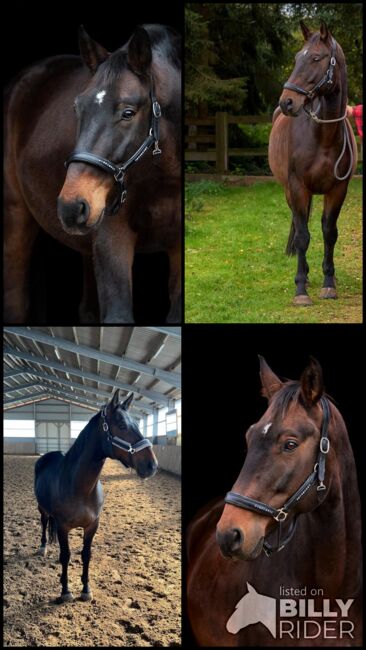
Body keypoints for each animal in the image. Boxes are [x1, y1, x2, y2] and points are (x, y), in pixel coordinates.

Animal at [35, 388, 158, 600]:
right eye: (122, 425)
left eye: (136, 424)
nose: (152, 465)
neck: (79, 488)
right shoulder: (63, 527)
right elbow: (65, 555)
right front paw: (65, 591)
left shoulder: (92, 525)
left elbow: (86, 555)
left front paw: (85, 589)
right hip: (42, 509)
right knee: (43, 523)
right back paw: (43, 547)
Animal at [268, 20, 356, 304]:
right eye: (297, 58)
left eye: (316, 58)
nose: (287, 101)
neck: (322, 137)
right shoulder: (298, 188)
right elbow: (303, 236)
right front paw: (301, 289)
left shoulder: (338, 190)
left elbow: (329, 232)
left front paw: (329, 282)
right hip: (289, 191)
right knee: (299, 226)